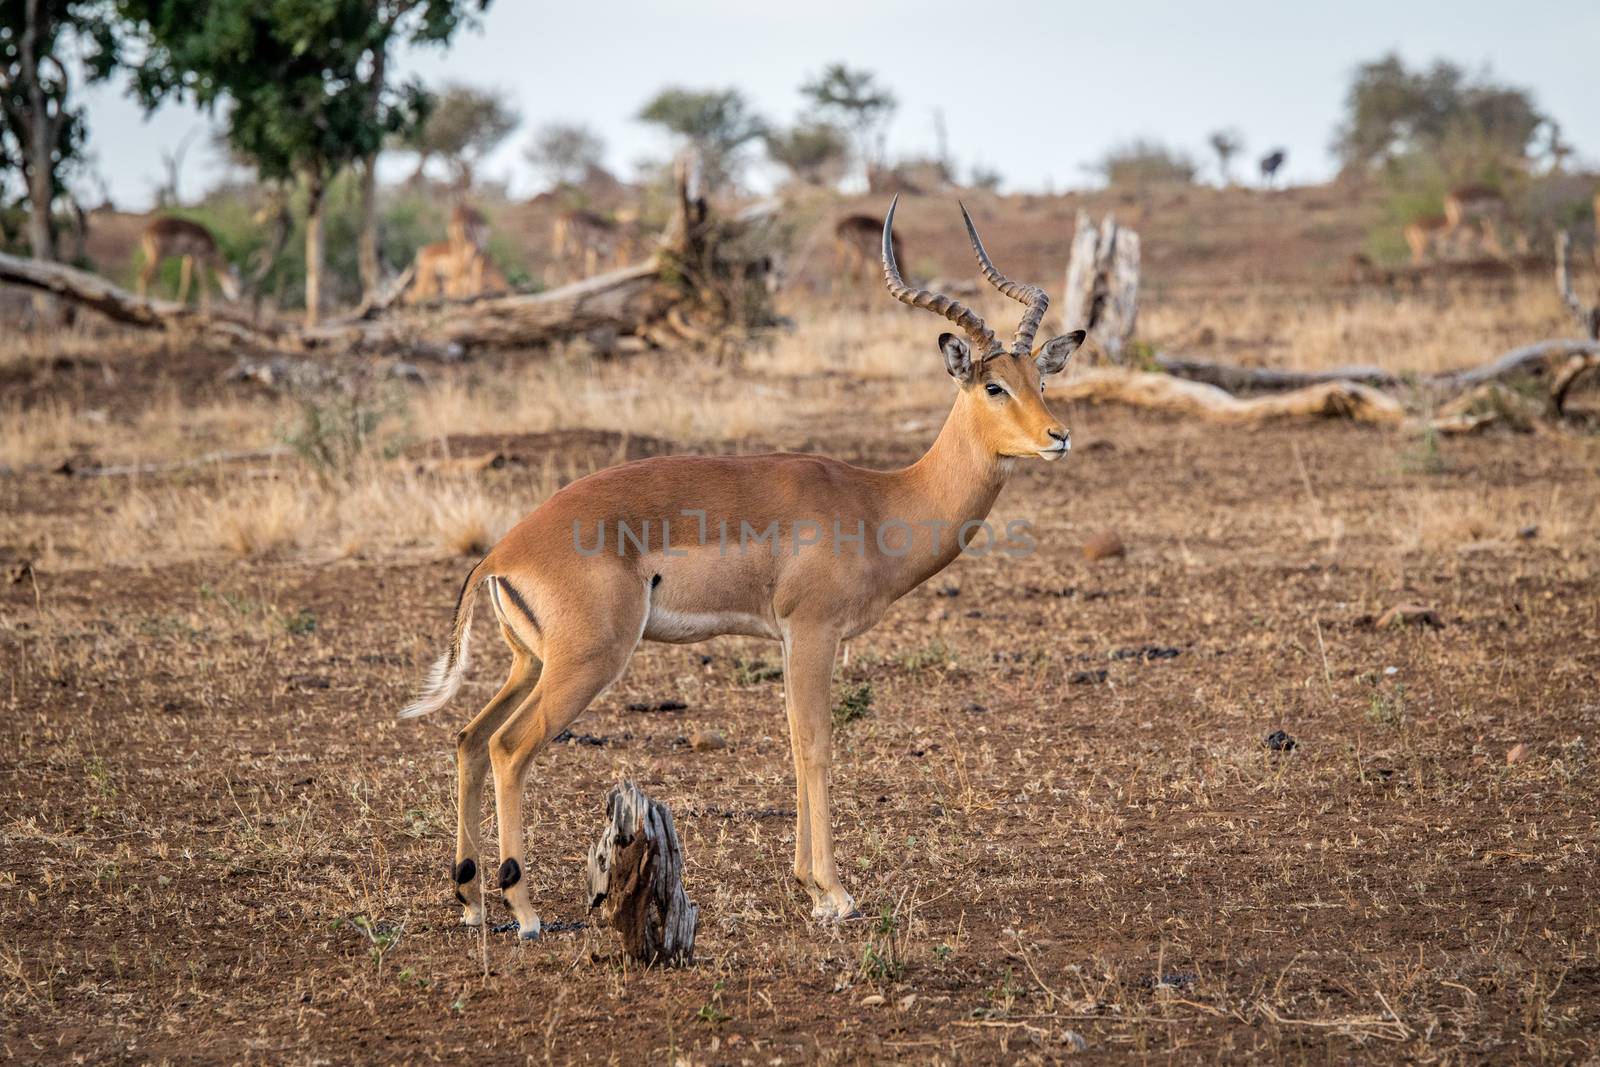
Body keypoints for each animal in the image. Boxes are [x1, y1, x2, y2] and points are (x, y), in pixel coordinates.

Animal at [403, 198, 1088, 934]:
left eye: (1039, 378)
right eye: (993, 385)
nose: (1058, 436)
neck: (880, 501)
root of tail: (501, 553)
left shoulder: (791, 637)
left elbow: (792, 740)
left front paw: (809, 886)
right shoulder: (813, 630)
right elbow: (817, 744)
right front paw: (835, 894)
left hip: (530, 662)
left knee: (469, 738)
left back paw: (472, 901)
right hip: (585, 662)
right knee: (508, 748)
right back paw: (524, 909)